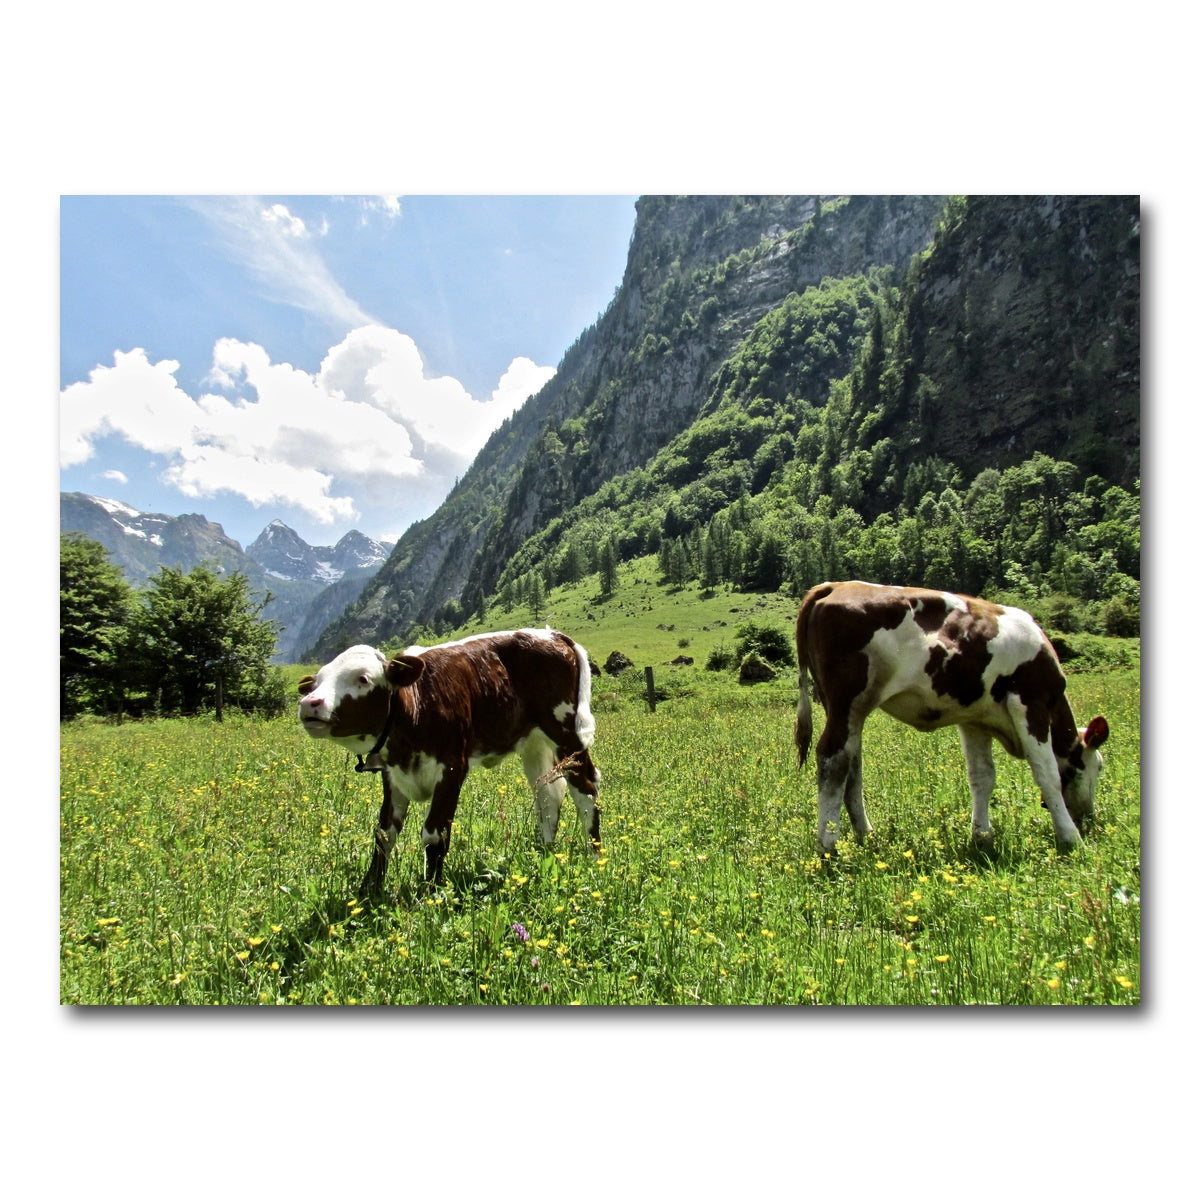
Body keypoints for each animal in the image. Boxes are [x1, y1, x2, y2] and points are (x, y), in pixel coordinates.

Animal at [298, 628, 601, 894]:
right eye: (317, 682)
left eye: (363, 678)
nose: (310, 703)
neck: (416, 705)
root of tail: (550, 634)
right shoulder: (392, 775)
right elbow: (384, 833)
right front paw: (368, 890)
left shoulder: (453, 766)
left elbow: (435, 834)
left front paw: (430, 893)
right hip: (533, 742)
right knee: (548, 794)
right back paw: (543, 853)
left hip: (566, 731)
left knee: (585, 789)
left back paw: (595, 856)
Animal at [793, 581, 1109, 855]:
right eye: (1096, 767)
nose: (1088, 816)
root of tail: (835, 586)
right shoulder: (1031, 702)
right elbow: (1047, 774)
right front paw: (1071, 838)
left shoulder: (974, 719)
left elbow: (982, 777)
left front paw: (982, 836)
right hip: (847, 702)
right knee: (832, 759)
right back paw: (829, 845)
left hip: (848, 710)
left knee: (852, 767)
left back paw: (865, 835)